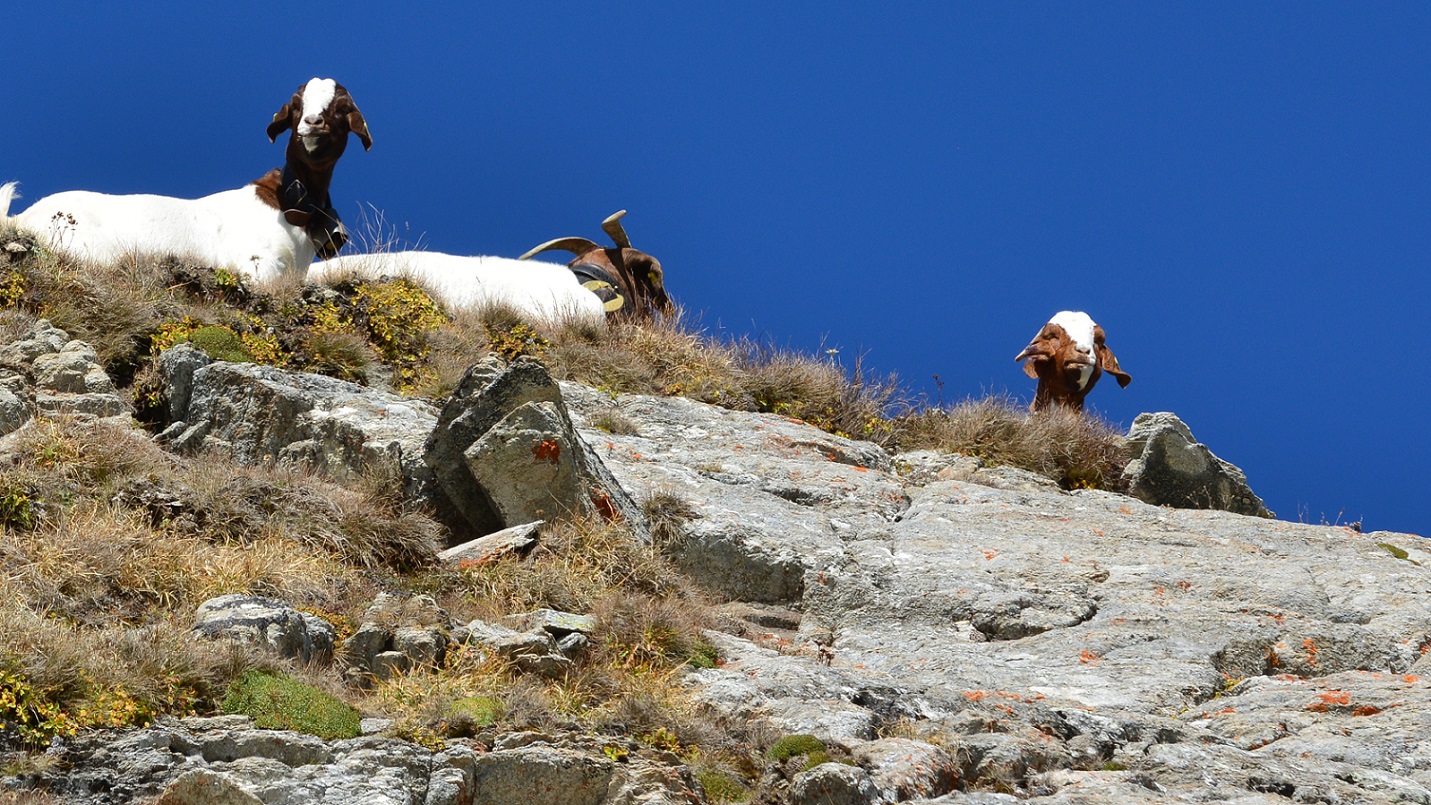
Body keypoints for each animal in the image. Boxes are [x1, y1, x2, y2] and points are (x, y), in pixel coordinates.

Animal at [0, 78, 370, 282]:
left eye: (341, 109)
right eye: (295, 107)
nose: (312, 123)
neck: (286, 205)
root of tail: (20, 218)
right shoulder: (254, 266)